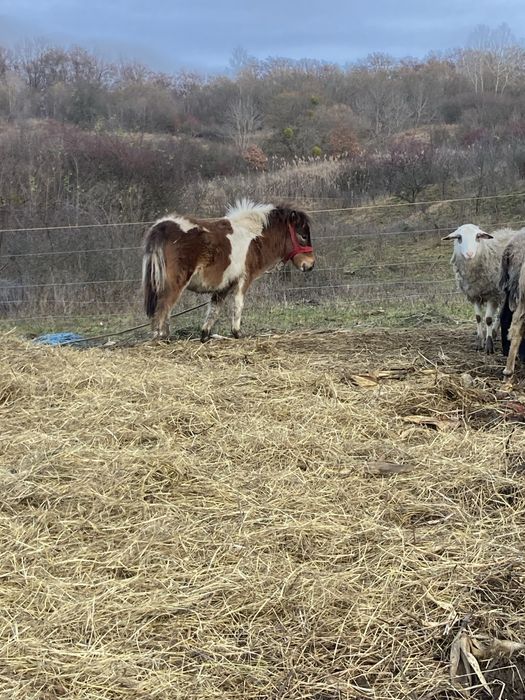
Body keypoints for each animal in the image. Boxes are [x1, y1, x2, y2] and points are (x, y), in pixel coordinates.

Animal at [142, 199, 315, 341]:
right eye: (303, 235)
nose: (311, 264)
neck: (253, 238)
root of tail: (162, 227)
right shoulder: (244, 279)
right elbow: (238, 305)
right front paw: (237, 333)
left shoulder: (224, 286)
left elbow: (214, 309)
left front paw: (205, 335)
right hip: (174, 284)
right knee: (163, 308)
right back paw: (160, 338)